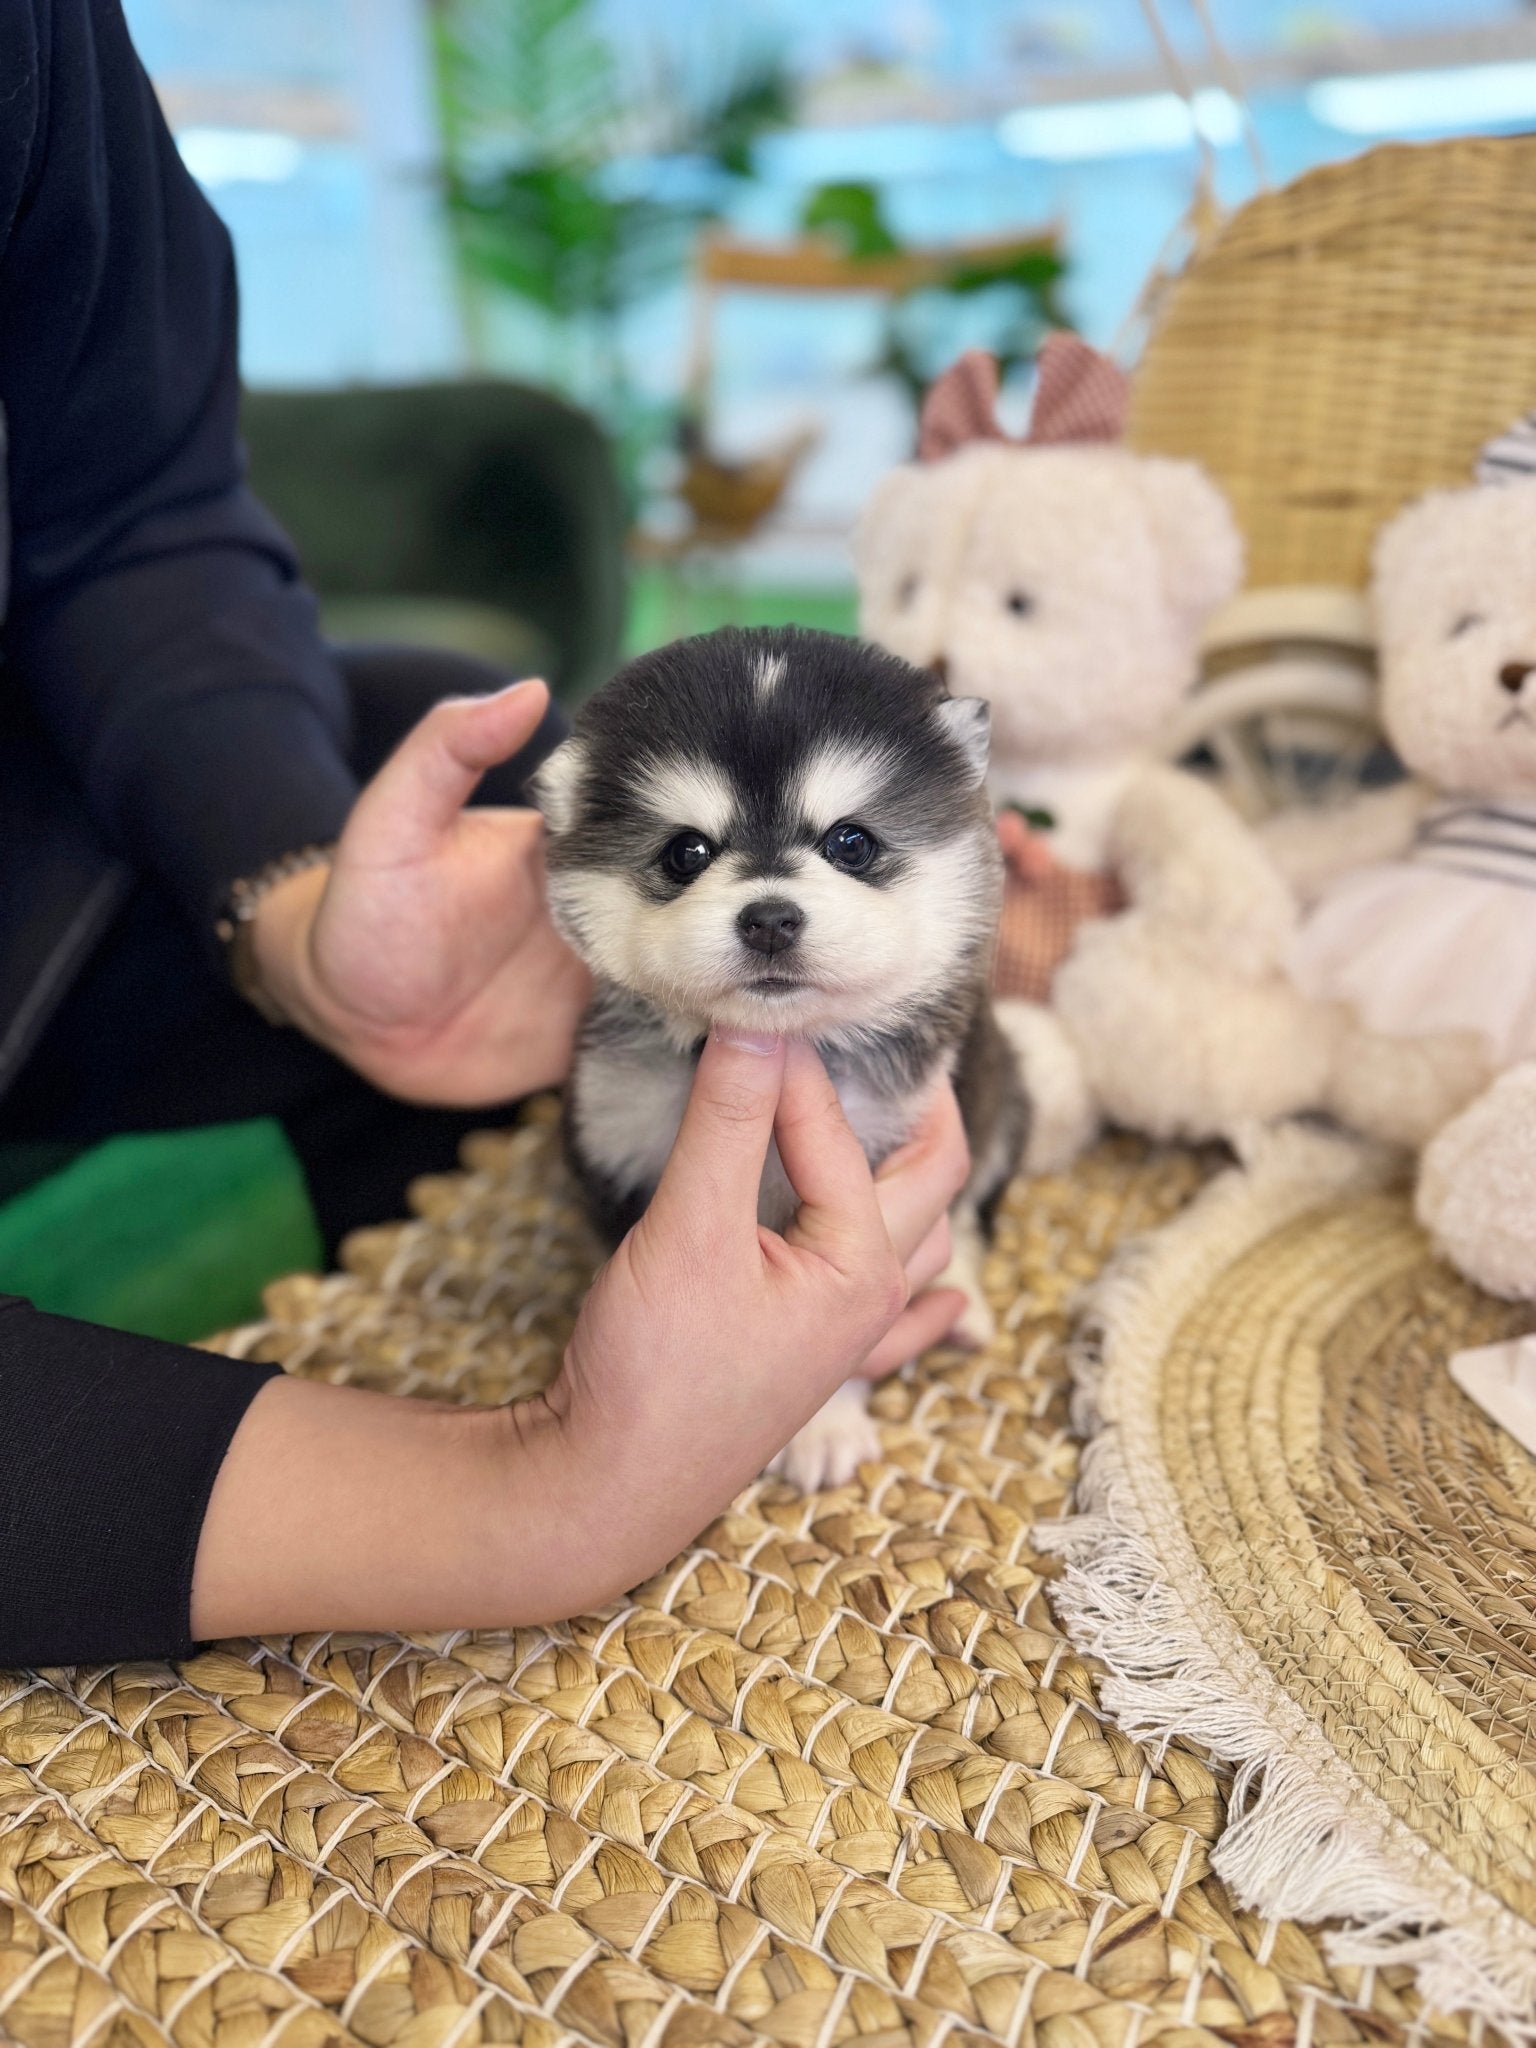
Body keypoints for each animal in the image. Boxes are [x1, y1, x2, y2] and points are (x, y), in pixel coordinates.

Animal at [536, 622, 1028, 1490]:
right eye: (686, 853)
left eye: (851, 841)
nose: (768, 918)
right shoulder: (612, 1146)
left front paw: (823, 1425)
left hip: (995, 1091)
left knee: (970, 1209)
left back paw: (962, 1294)